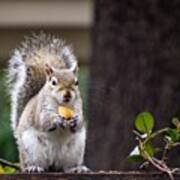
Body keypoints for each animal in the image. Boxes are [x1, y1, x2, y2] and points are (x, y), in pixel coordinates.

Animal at [7, 32, 89, 173]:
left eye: (76, 82)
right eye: (53, 82)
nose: (67, 94)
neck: (62, 105)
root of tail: (53, 164)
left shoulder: (79, 106)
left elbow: (79, 122)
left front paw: (76, 120)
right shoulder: (41, 108)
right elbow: (44, 121)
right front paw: (57, 120)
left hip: (75, 150)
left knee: (65, 167)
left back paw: (76, 168)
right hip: (31, 149)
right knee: (34, 163)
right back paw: (33, 167)